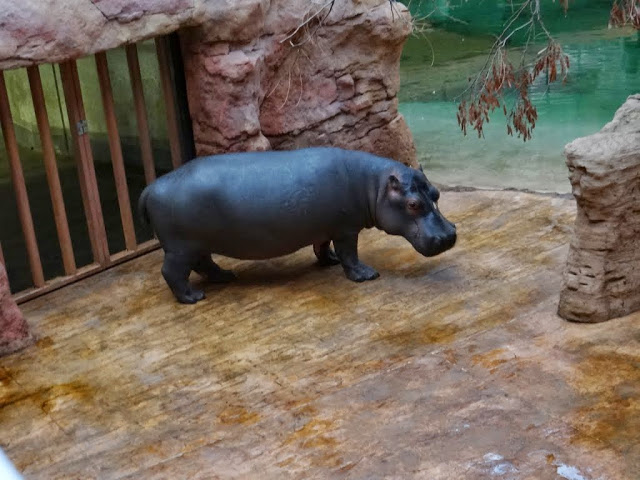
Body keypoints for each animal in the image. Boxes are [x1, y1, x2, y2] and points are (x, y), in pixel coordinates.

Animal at [139, 147, 456, 303]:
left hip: (197, 244)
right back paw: (193, 298)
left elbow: (322, 246)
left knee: (204, 264)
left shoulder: (327, 227)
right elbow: (350, 254)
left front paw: (328, 261)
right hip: (180, 247)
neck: (374, 185)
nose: (449, 235)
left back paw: (225, 277)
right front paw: (367, 275)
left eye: (436, 193)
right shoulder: (346, 228)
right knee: (172, 272)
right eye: (413, 204)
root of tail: (149, 188)